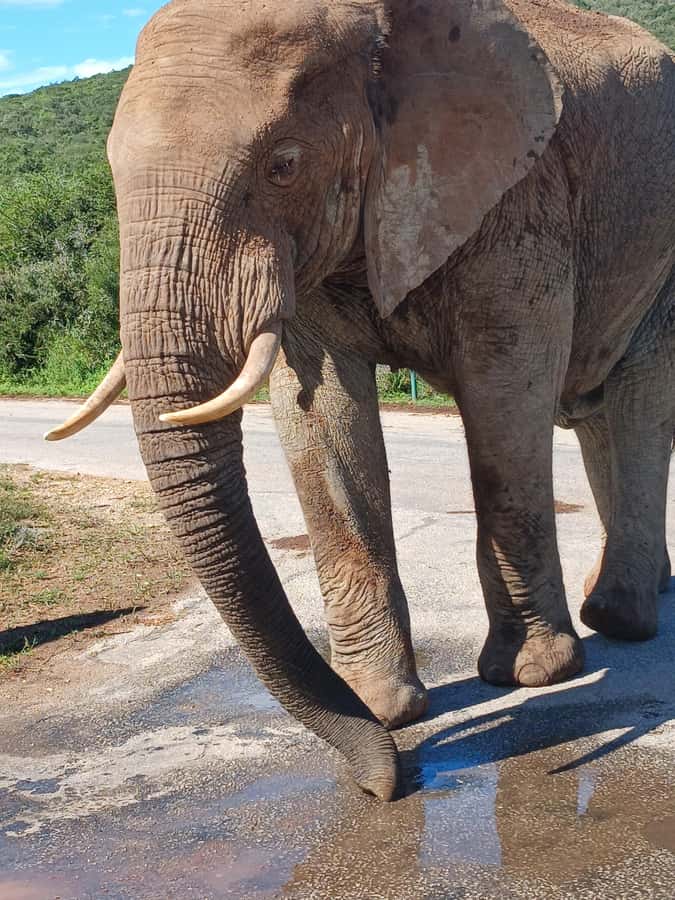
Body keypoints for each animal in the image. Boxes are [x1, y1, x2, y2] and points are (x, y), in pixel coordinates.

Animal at [46, 0, 675, 801]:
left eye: (283, 165)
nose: (388, 786)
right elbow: (319, 415)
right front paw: (381, 705)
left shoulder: (518, 198)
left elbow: (507, 394)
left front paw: (533, 676)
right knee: (597, 415)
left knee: (635, 401)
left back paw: (620, 618)